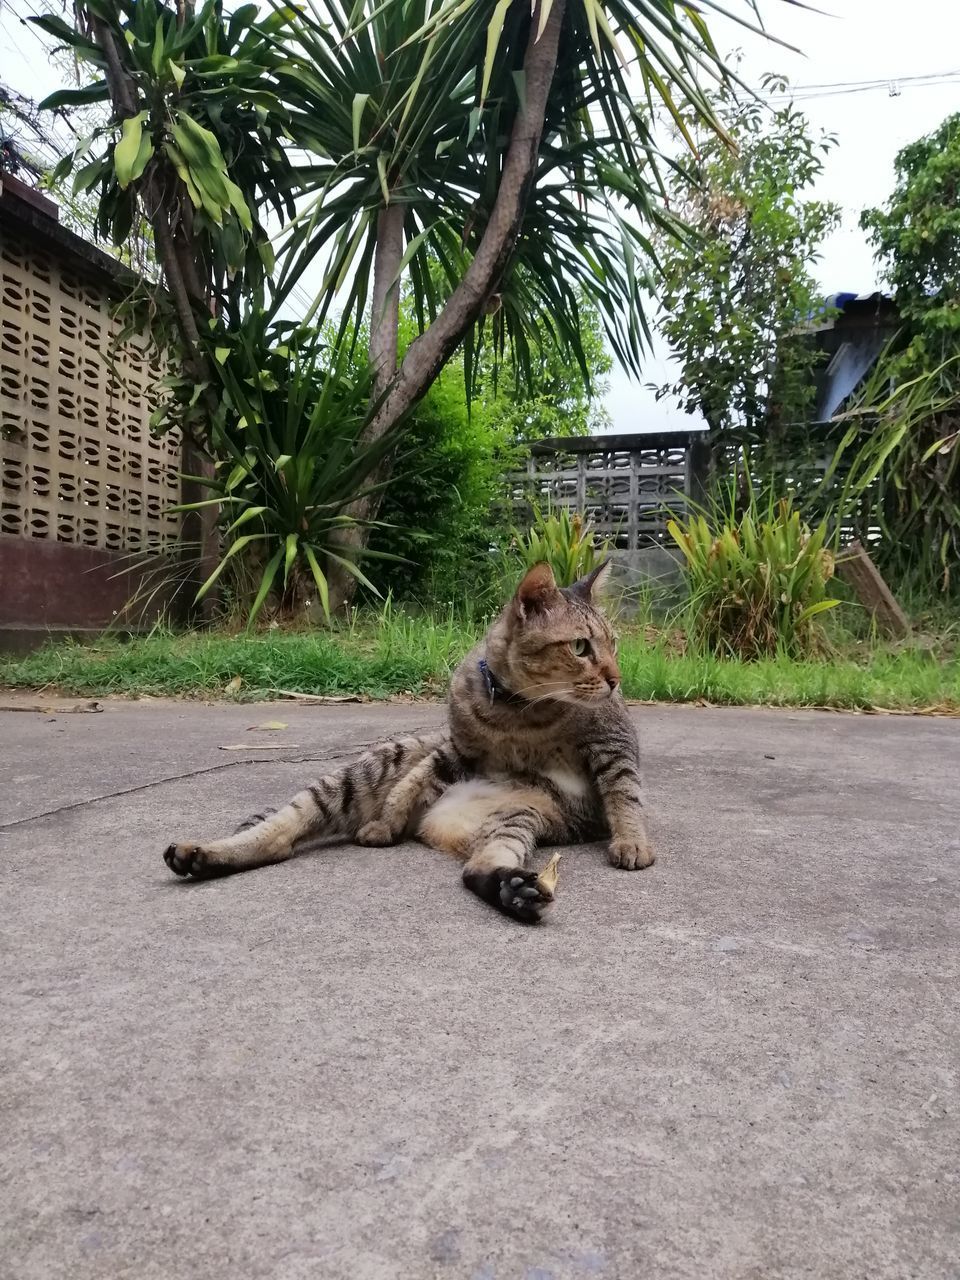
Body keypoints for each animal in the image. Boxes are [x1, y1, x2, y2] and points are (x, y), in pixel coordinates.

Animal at [167, 560, 660, 921]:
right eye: (580, 647)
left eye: (614, 644)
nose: (617, 679)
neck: (518, 712)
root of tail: (431, 825)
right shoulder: (457, 749)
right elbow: (414, 783)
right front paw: (387, 819)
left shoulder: (613, 743)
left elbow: (624, 794)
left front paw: (631, 842)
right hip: (365, 770)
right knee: (279, 832)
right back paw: (200, 854)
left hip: (522, 814)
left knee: (477, 868)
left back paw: (515, 891)